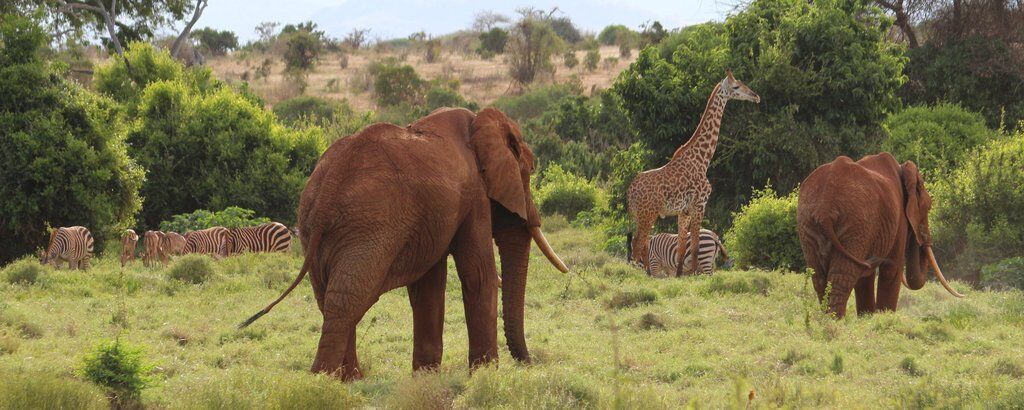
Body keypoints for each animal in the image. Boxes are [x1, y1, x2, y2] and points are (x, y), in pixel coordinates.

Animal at [240, 107, 569, 380]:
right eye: (529, 171)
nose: (529, 363)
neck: (479, 122)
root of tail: (327, 186)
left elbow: (428, 287)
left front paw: (426, 377)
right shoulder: (473, 195)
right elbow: (479, 276)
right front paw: (485, 376)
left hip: (319, 231)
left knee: (331, 298)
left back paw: (349, 379)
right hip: (369, 226)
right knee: (348, 298)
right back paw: (323, 381)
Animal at [628, 70, 760, 276]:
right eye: (736, 86)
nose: (756, 96)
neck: (702, 159)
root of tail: (630, 191)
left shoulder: (684, 211)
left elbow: (682, 248)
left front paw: (680, 275)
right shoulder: (700, 204)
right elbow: (696, 246)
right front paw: (696, 275)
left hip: (638, 215)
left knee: (638, 244)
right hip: (647, 214)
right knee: (638, 244)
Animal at [797, 152, 963, 318]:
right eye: (929, 207)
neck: (903, 169)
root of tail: (825, 211)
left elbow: (865, 278)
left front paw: (867, 318)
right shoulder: (898, 220)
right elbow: (892, 270)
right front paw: (885, 317)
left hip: (809, 224)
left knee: (819, 277)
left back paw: (826, 320)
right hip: (855, 226)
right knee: (842, 276)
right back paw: (834, 321)